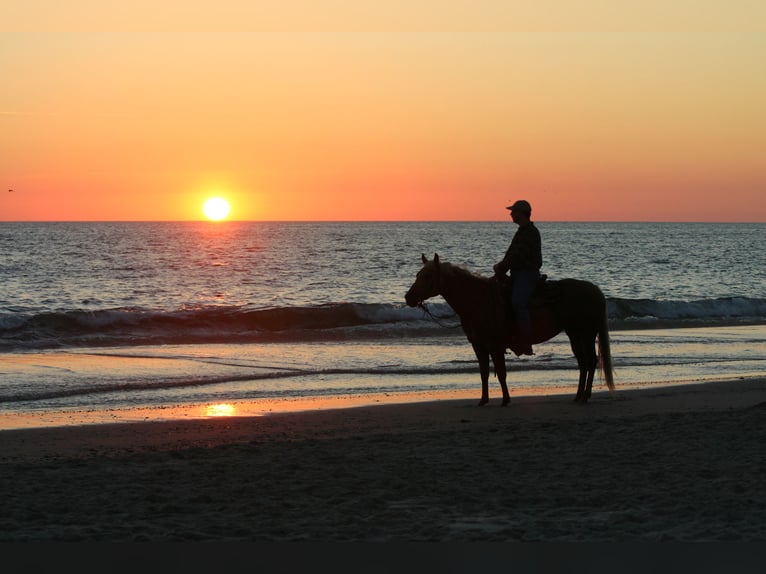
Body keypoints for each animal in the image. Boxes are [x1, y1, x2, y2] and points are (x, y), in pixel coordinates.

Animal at [404, 254, 616, 408]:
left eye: (428, 276)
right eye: (417, 275)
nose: (408, 297)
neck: (478, 301)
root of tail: (595, 290)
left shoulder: (495, 345)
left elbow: (501, 372)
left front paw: (505, 400)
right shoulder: (478, 345)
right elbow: (484, 373)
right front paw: (483, 400)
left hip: (586, 334)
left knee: (591, 361)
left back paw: (586, 396)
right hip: (574, 334)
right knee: (583, 363)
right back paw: (578, 396)